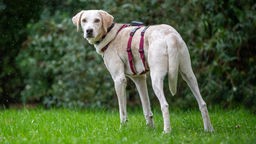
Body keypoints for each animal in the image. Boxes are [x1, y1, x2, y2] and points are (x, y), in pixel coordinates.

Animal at [72, 9, 214, 133]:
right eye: (84, 20)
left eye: (97, 20)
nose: (88, 31)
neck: (110, 33)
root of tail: (170, 35)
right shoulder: (139, 80)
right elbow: (146, 108)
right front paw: (150, 129)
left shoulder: (119, 80)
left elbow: (122, 111)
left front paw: (122, 129)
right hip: (188, 75)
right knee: (202, 103)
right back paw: (209, 130)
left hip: (156, 79)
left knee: (165, 105)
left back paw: (167, 131)